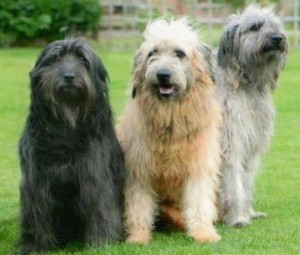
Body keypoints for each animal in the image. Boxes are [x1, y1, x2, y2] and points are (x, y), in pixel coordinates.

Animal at [18, 38, 125, 254]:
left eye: (83, 60)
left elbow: (100, 206)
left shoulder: (95, 175)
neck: (67, 124)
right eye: (55, 59)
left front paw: (102, 242)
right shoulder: (36, 180)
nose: (69, 77)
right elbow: (36, 212)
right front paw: (35, 246)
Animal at [216, 4, 288, 227]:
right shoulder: (231, 144)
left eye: (275, 26)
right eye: (254, 27)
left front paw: (249, 213)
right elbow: (235, 184)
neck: (246, 86)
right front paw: (238, 218)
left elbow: (246, 183)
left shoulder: (251, 147)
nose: (278, 38)